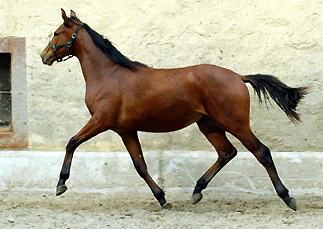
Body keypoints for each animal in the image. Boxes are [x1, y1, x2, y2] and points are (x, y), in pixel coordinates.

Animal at [41, 9, 308, 211]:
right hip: (208, 124)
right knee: (227, 152)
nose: (44, 56)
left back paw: (287, 197)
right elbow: (140, 166)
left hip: (235, 123)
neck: (108, 73)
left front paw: (61, 184)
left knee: (261, 152)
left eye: (56, 33)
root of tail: (239, 77)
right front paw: (162, 199)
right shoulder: (126, 130)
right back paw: (197, 190)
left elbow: (71, 142)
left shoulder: (101, 121)